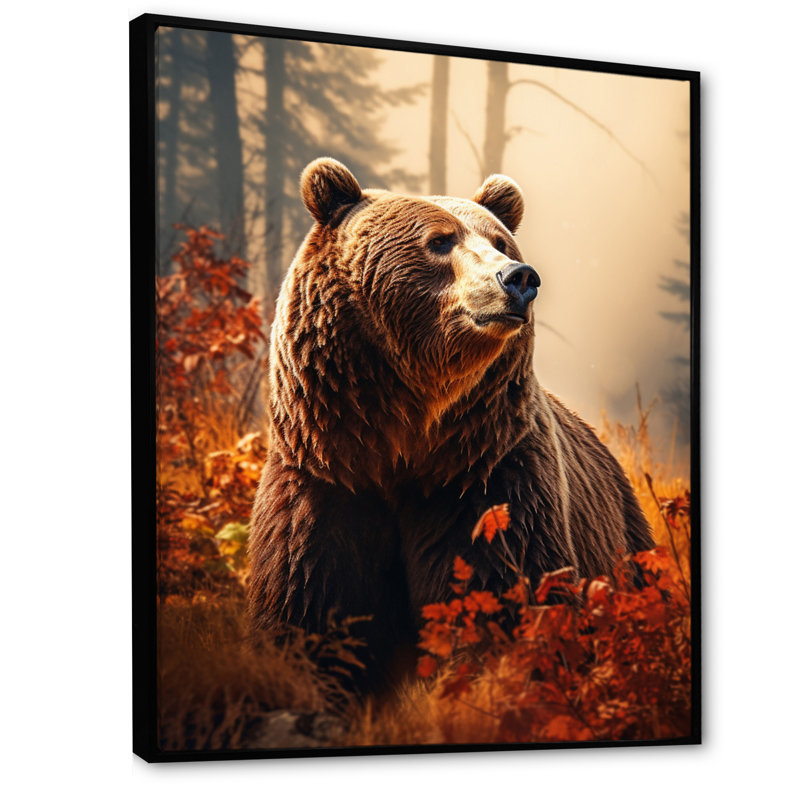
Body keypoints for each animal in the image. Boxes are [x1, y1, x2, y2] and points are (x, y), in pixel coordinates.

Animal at [248, 157, 652, 689]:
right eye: (439, 240)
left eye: (501, 242)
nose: (518, 277)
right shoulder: (323, 486)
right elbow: (308, 610)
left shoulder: (488, 480)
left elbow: (504, 599)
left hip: (625, 553)